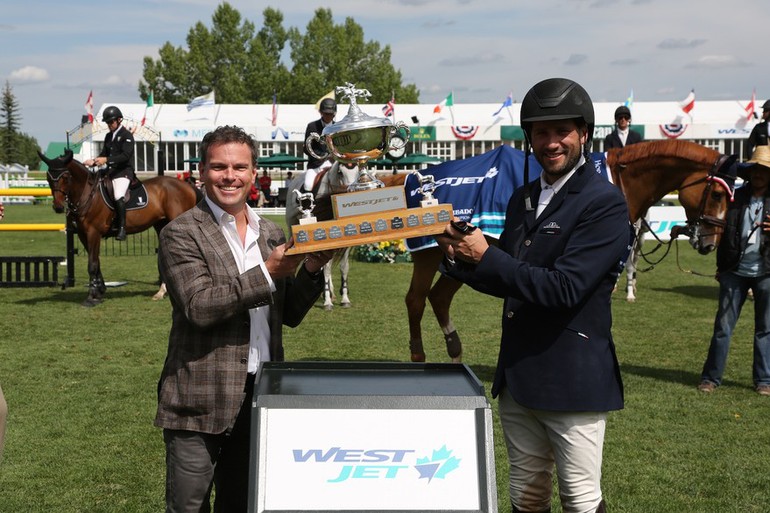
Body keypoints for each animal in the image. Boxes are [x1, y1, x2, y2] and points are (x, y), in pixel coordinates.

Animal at [39, 150, 200, 306]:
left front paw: (91, 296)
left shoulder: (93, 233)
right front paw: (100, 290)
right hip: (162, 225)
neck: (88, 194)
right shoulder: (83, 235)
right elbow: (96, 262)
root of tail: (187, 186)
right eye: (48, 177)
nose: (58, 207)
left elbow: (92, 264)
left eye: (65, 177)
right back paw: (161, 292)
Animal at [284, 162, 360, 310]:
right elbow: (326, 267)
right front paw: (327, 301)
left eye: (358, 171)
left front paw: (344, 298)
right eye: (340, 172)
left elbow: (344, 266)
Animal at [376, 138, 736, 362]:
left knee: (438, 298)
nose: (709, 243)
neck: (617, 180)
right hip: (429, 254)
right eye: (718, 194)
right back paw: (419, 355)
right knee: (416, 300)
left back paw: (454, 352)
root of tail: (414, 179)